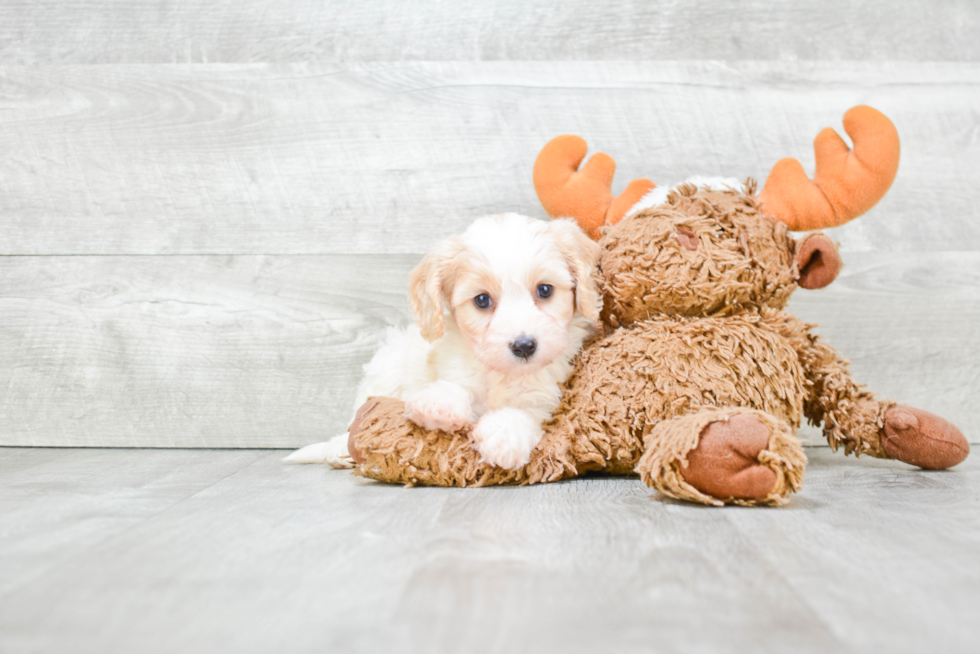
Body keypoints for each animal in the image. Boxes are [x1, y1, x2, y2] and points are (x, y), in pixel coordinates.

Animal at [288, 214, 600, 472]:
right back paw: (339, 449)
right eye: (482, 300)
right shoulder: (454, 369)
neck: (499, 373)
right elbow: (455, 387)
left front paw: (503, 438)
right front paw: (439, 404)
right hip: (387, 367)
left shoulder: (543, 397)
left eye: (545, 290)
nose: (524, 346)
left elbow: (519, 414)